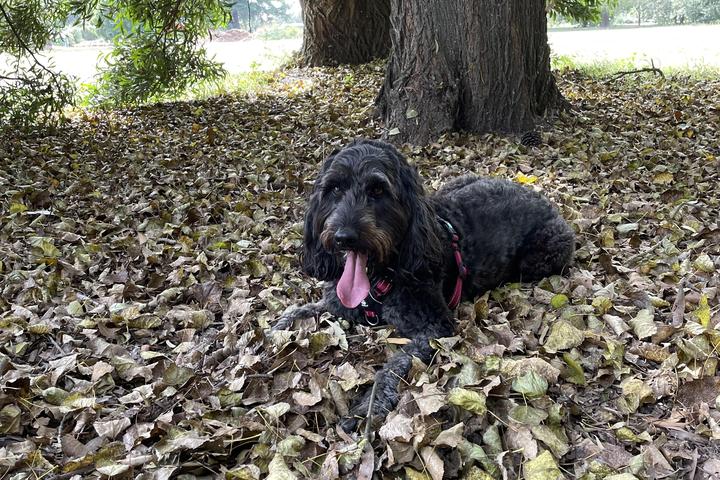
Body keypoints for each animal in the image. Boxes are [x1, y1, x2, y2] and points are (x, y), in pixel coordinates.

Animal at [276, 138, 572, 428]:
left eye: (378, 190)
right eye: (335, 188)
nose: (344, 237)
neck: (380, 276)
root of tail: (535, 192)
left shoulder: (433, 328)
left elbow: (393, 367)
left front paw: (367, 407)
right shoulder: (339, 302)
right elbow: (302, 309)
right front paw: (277, 329)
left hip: (544, 253)